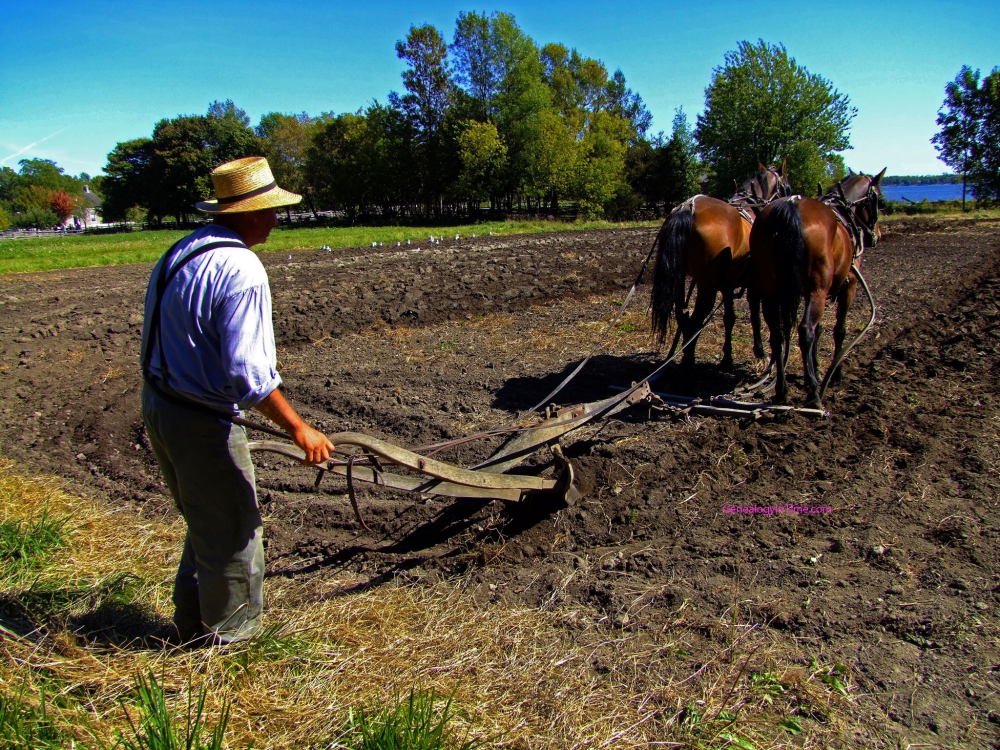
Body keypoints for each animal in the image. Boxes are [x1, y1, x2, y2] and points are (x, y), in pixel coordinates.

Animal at [648, 164, 788, 370]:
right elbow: (755, 316)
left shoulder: (727, 285)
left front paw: (727, 357)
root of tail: (687, 209)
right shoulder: (754, 283)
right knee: (696, 319)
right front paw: (760, 352)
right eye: (786, 186)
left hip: (680, 279)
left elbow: (729, 318)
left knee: (683, 315)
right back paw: (688, 361)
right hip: (708, 286)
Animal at [752, 170, 884, 408]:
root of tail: (791, 208)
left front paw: (816, 370)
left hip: (771, 289)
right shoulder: (848, 285)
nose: (876, 235)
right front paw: (834, 372)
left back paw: (782, 390)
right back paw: (813, 393)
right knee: (805, 330)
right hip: (818, 289)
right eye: (879, 200)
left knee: (777, 335)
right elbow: (839, 330)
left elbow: (819, 330)